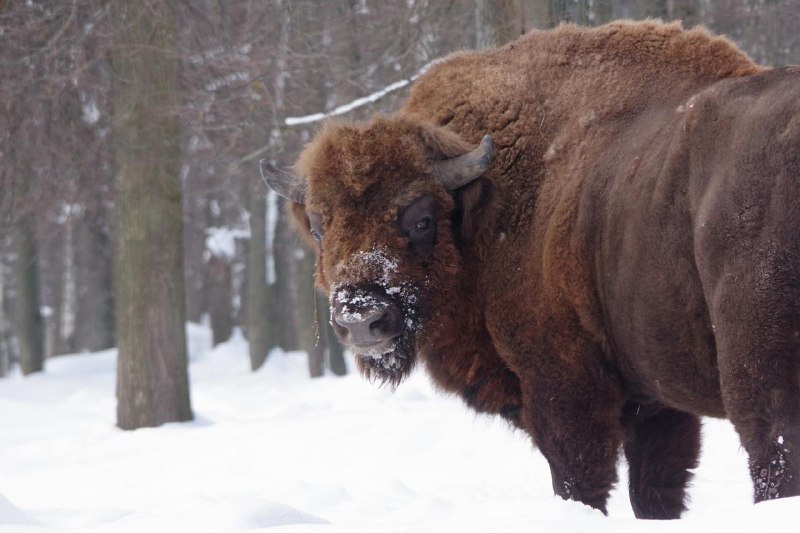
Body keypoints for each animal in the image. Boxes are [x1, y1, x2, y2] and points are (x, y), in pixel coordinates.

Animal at [262, 21, 800, 520]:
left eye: (420, 219)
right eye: (319, 227)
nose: (361, 319)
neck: (487, 209)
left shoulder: (564, 387)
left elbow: (581, 482)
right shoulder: (657, 404)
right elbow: (655, 491)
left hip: (759, 380)